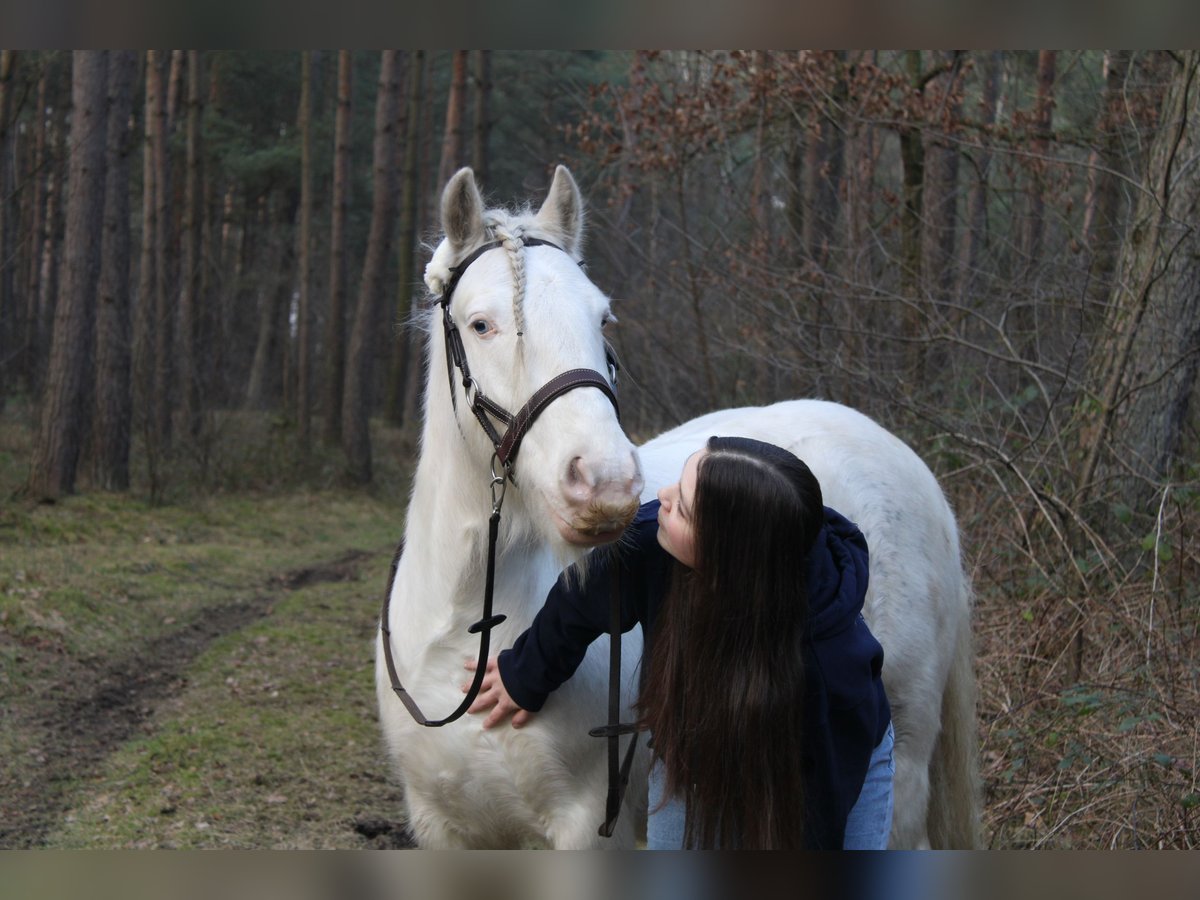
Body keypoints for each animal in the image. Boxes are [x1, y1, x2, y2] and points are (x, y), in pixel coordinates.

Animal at [379, 165, 979, 849]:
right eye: (481, 324)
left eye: (603, 319)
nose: (605, 482)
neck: (470, 628)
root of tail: (912, 468)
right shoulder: (442, 828)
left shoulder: (584, 827)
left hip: (901, 763)